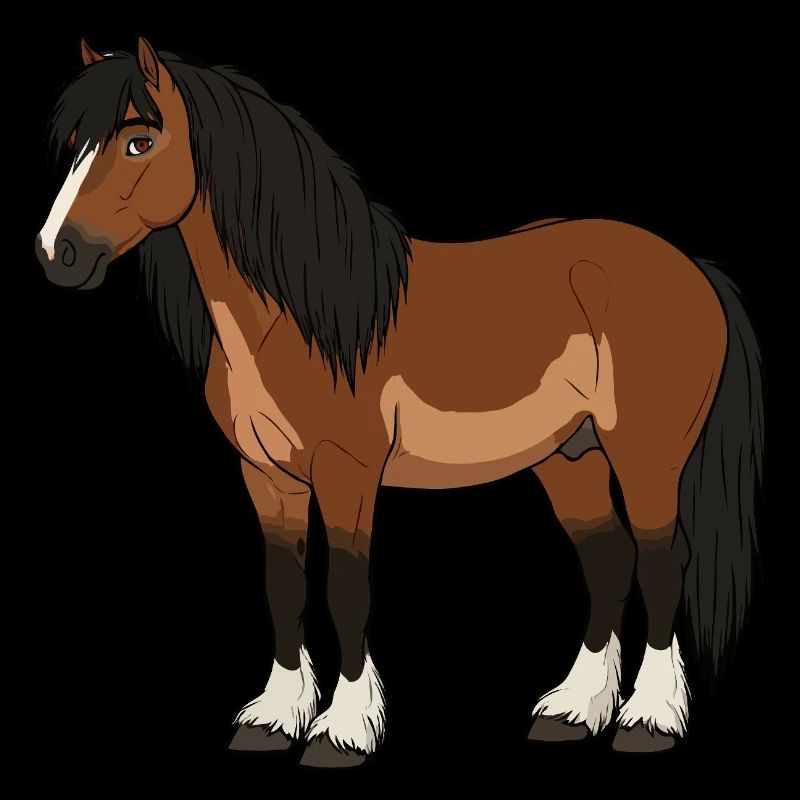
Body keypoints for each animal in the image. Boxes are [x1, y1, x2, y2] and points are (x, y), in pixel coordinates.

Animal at [35, 38, 763, 766]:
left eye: (139, 139)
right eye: (73, 144)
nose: (55, 253)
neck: (301, 317)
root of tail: (694, 270)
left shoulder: (348, 472)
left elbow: (346, 591)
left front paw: (344, 731)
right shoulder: (266, 476)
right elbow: (283, 587)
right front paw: (274, 720)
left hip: (645, 458)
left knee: (662, 562)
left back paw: (649, 721)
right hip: (570, 456)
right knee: (608, 559)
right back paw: (573, 712)